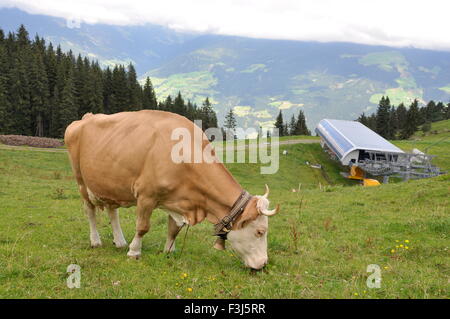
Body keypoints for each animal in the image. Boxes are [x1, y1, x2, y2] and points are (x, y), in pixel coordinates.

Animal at [65, 110, 280, 270]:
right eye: (260, 231)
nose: (263, 263)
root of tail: (87, 117)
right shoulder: (146, 196)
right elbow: (143, 227)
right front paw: (134, 252)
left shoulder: (178, 199)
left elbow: (174, 229)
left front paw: (168, 250)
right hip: (81, 181)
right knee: (90, 211)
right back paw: (96, 241)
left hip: (111, 184)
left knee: (112, 211)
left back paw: (119, 241)